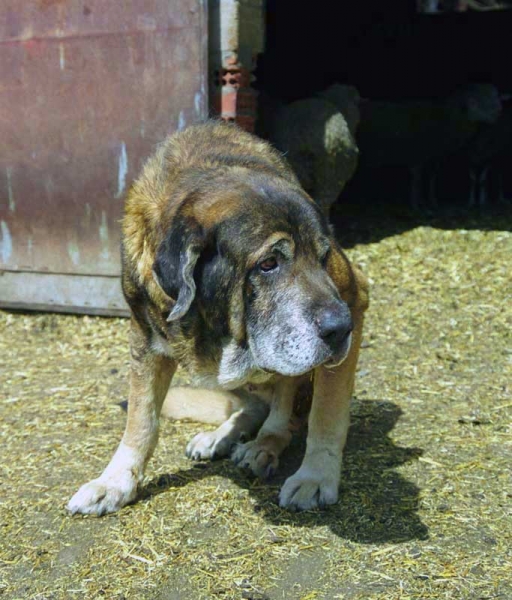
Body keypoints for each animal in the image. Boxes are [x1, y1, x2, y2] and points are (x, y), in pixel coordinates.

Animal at [69, 120, 372, 516]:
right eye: (268, 263)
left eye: (324, 258)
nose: (341, 329)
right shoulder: (144, 338)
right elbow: (141, 418)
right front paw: (115, 481)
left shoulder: (354, 295)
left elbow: (326, 413)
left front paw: (316, 476)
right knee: (254, 404)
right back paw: (223, 435)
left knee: (284, 413)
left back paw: (261, 445)